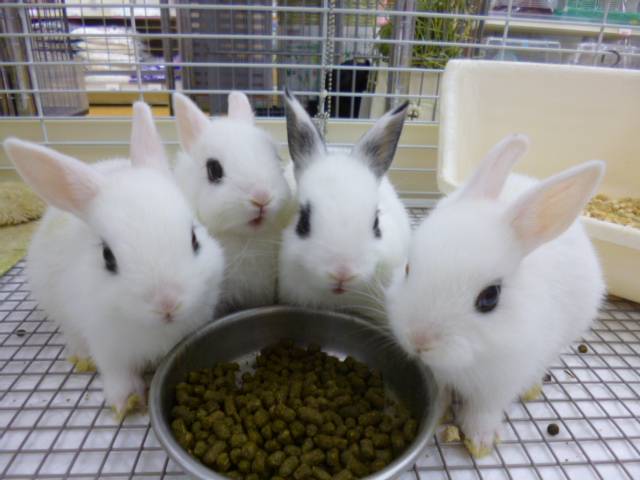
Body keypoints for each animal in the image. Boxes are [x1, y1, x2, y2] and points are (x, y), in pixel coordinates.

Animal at [3, 102, 225, 418]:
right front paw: (126, 402)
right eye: (108, 257)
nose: (167, 304)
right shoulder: (108, 346)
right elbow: (118, 373)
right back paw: (81, 357)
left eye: (195, 238)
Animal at [385, 134, 606, 457]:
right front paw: (438, 415)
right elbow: (440, 395)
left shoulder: (501, 382)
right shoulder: (437, 376)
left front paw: (481, 441)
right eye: (408, 268)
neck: (466, 363)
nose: (419, 340)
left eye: (490, 297)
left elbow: (484, 410)